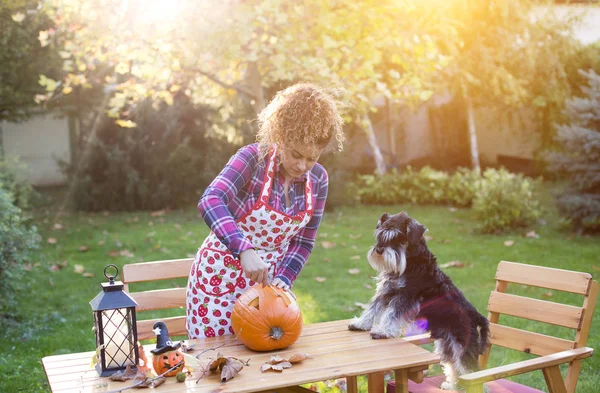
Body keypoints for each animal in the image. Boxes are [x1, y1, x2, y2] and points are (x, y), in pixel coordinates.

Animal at [350, 211, 490, 388]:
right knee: (454, 366)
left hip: (462, 346)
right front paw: (360, 324)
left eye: (399, 238)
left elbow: (392, 314)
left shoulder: (406, 297)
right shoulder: (386, 292)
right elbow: (372, 309)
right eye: (380, 235)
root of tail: (476, 315)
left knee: (471, 372)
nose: (379, 250)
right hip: (447, 345)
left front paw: (383, 331)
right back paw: (452, 386)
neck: (411, 261)